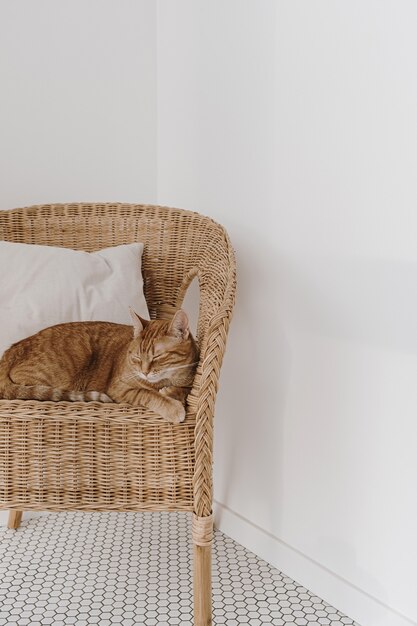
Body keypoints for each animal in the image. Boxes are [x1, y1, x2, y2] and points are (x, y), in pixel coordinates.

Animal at [0, 308, 198, 422]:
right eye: (137, 358)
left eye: (157, 356)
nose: (144, 372)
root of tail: (14, 348)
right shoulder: (121, 389)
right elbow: (149, 394)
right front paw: (172, 406)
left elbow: (185, 389)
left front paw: (172, 391)